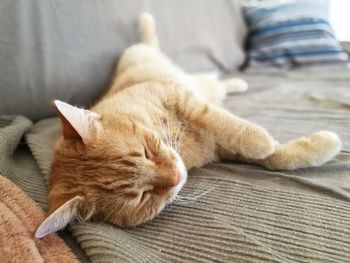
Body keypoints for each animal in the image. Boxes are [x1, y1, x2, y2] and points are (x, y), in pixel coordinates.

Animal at [35, 12, 342, 239]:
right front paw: (310, 147)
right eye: (141, 197)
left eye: (145, 153)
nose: (175, 176)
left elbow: (223, 123)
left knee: (214, 83)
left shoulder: (181, 98)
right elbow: (274, 157)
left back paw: (237, 82)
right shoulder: (217, 147)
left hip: (189, 78)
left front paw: (264, 142)